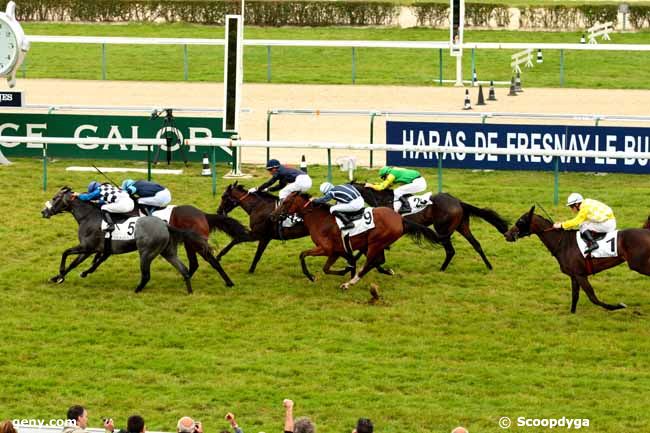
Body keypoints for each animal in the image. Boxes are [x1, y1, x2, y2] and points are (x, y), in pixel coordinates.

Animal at [40, 186, 211, 294]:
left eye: (55, 198)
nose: (44, 212)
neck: (89, 217)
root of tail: (165, 225)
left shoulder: (87, 247)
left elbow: (66, 253)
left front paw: (60, 274)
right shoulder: (92, 249)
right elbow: (74, 263)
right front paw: (58, 277)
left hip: (146, 253)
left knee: (146, 275)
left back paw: (137, 290)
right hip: (167, 252)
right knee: (184, 269)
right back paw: (189, 292)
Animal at [268, 193, 440, 290]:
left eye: (285, 202)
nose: (272, 216)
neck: (320, 219)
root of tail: (400, 219)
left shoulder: (326, 249)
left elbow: (303, 254)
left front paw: (311, 276)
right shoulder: (337, 251)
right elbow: (327, 268)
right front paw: (346, 269)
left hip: (375, 243)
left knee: (369, 264)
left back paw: (348, 284)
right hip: (374, 244)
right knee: (378, 261)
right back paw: (384, 271)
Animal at [350, 181, 506, 270]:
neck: (383, 200)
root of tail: (458, 201)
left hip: (443, 229)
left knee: (450, 250)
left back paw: (441, 269)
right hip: (462, 227)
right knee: (476, 244)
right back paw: (489, 266)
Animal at [506, 205, 648, 310]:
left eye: (521, 221)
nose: (507, 234)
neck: (563, 243)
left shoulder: (580, 275)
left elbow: (593, 297)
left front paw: (618, 306)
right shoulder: (574, 275)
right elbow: (575, 296)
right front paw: (572, 313)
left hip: (639, 265)